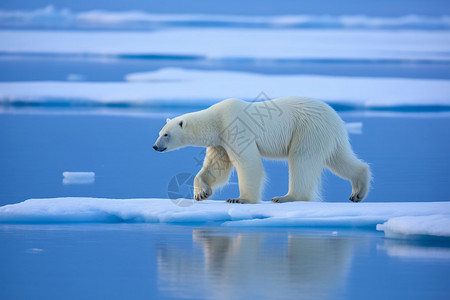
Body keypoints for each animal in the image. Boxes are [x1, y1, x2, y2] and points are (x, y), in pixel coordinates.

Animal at [153, 96, 370, 204]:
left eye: (166, 134)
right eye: (160, 132)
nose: (155, 146)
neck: (216, 119)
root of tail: (336, 118)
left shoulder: (235, 129)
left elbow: (248, 164)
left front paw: (239, 199)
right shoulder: (220, 141)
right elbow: (216, 166)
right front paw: (201, 193)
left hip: (307, 129)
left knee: (302, 160)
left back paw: (286, 197)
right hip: (327, 135)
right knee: (340, 159)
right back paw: (358, 191)